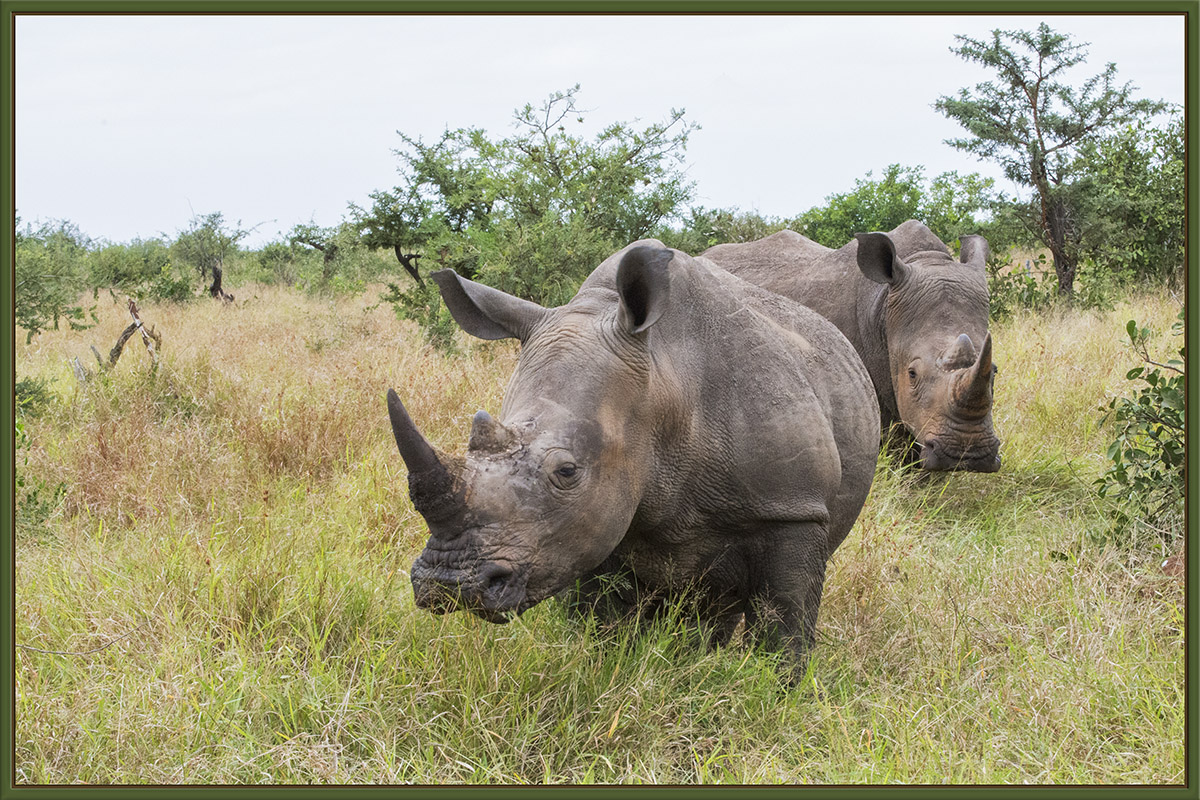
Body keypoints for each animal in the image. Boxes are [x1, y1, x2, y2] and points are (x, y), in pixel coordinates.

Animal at [386, 241, 880, 676]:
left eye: (567, 471)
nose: (449, 585)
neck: (665, 381)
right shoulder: (590, 527)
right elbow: (604, 628)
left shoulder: (793, 506)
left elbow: (784, 630)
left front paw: (781, 695)